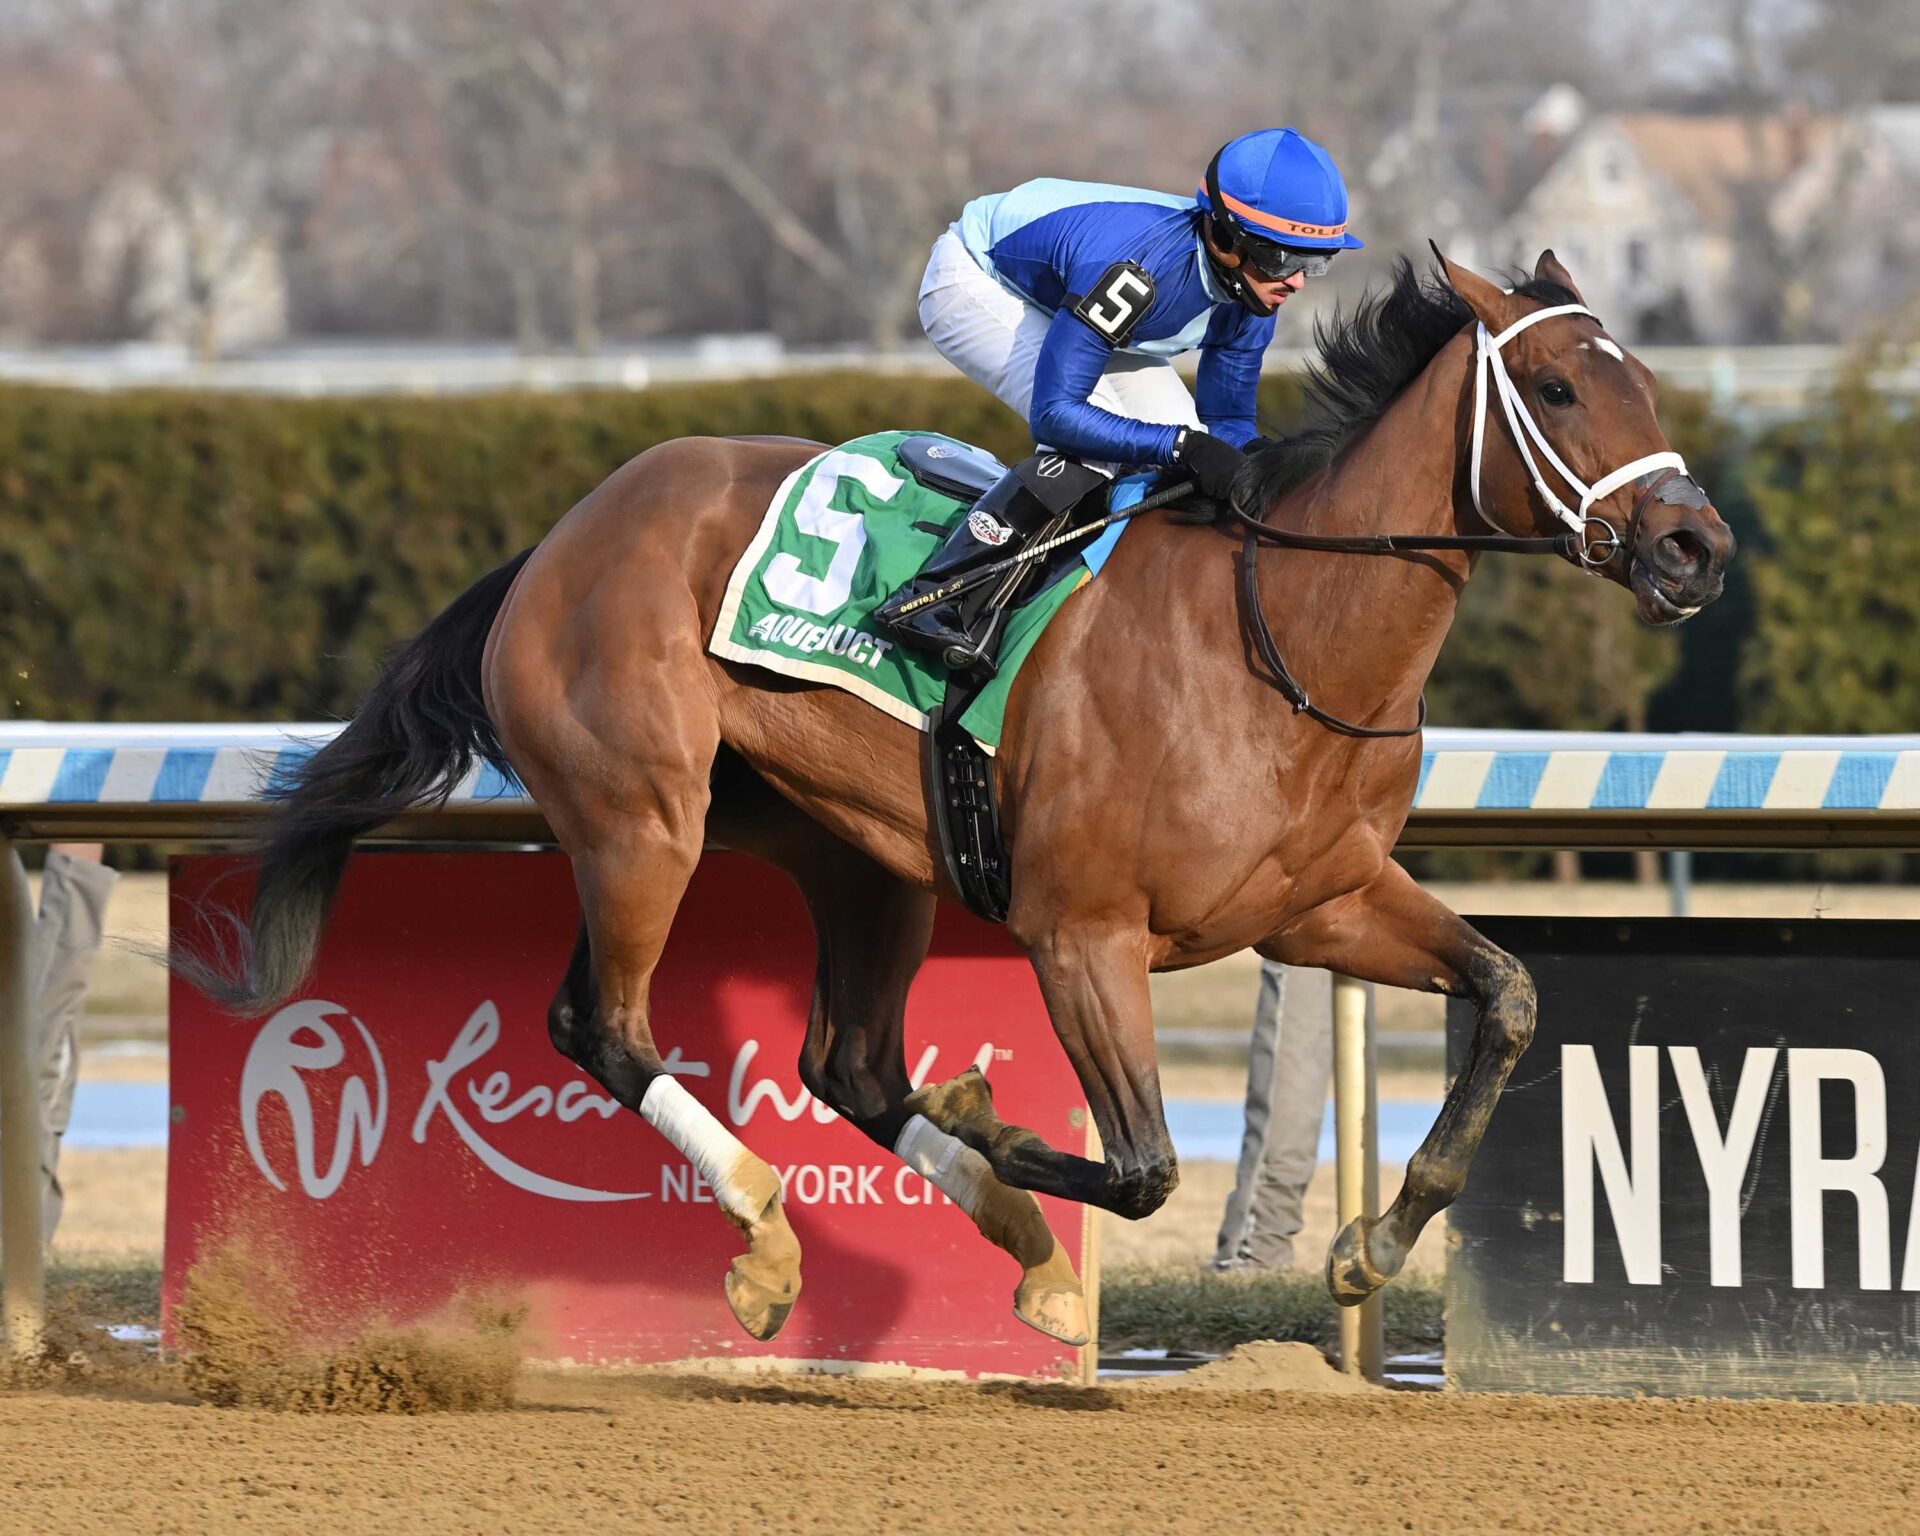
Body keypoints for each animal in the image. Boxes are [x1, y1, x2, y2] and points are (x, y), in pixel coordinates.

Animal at [179, 251, 1735, 1349]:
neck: (1277, 635)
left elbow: (1511, 995)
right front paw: (999, 1126)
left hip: (857, 861)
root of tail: (563, 535)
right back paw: (771, 1237)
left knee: (849, 1068)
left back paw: (1018, 1259)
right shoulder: (1080, 931)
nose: (1695, 547)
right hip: (641, 821)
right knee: (603, 1028)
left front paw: (1375, 1241)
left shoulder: (1320, 906)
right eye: (1557, 392)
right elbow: (1144, 1166)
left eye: (1648, 383)